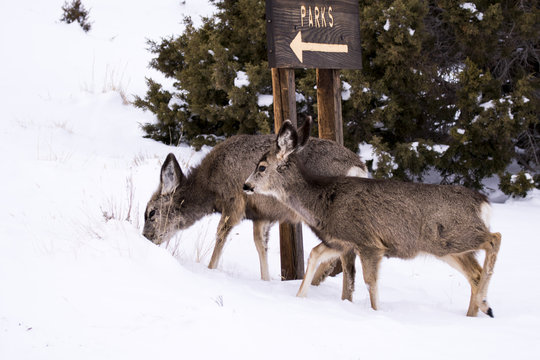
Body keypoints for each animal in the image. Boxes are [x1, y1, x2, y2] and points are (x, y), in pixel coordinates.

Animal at [141, 119, 368, 294]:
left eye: (151, 212)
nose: (146, 238)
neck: (209, 187)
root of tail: (360, 168)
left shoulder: (234, 201)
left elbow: (220, 236)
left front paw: (210, 269)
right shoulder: (262, 215)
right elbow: (260, 244)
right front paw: (265, 280)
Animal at [245, 119, 502, 316]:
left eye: (261, 167)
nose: (245, 185)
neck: (323, 202)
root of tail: (484, 204)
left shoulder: (368, 242)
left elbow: (371, 283)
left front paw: (377, 314)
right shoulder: (342, 241)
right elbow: (315, 254)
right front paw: (299, 297)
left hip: (454, 236)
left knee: (494, 239)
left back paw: (485, 305)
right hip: (448, 248)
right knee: (475, 273)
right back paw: (475, 313)